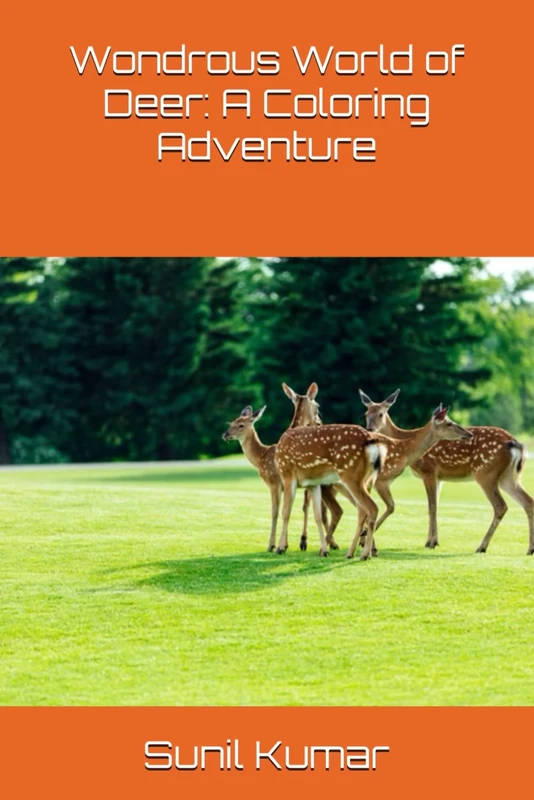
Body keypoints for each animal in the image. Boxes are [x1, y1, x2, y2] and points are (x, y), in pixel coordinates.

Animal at [222, 383, 344, 552]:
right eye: (231, 423)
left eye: (240, 425)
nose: (225, 434)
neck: (261, 457)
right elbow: (289, 510)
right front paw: (284, 544)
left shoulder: (274, 482)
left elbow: (276, 511)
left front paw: (272, 545)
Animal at [359, 388, 534, 555]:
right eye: (366, 414)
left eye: (381, 414)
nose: (370, 428)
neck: (404, 438)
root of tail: (516, 444)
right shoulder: (439, 477)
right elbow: (435, 506)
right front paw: (432, 541)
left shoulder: (429, 471)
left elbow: (431, 506)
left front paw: (430, 543)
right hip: (508, 477)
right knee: (528, 502)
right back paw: (529, 549)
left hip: (485, 473)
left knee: (500, 506)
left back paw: (482, 547)